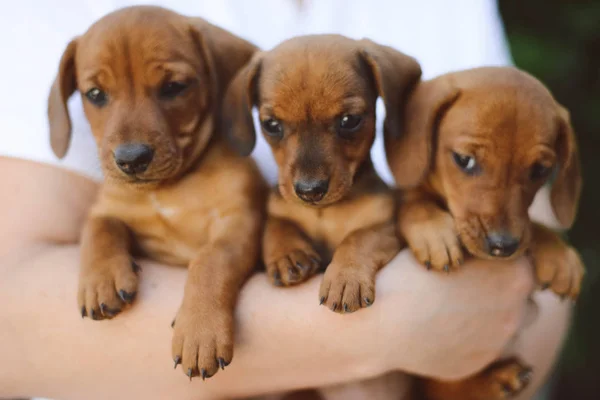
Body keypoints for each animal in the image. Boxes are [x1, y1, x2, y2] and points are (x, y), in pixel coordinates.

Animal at [46, 7, 262, 382]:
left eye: (174, 87)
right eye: (95, 94)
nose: (131, 160)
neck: (168, 188)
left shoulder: (238, 222)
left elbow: (210, 260)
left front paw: (200, 329)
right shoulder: (108, 207)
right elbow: (99, 228)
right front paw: (101, 277)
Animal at [223, 35, 420, 312]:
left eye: (349, 120)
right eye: (270, 125)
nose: (310, 191)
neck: (325, 212)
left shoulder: (385, 228)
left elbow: (358, 239)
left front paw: (346, 278)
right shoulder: (278, 213)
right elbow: (277, 227)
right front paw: (288, 253)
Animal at [384, 67, 584, 398]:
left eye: (540, 170)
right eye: (464, 160)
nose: (502, 245)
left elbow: (531, 226)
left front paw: (557, 252)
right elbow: (414, 203)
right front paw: (434, 231)